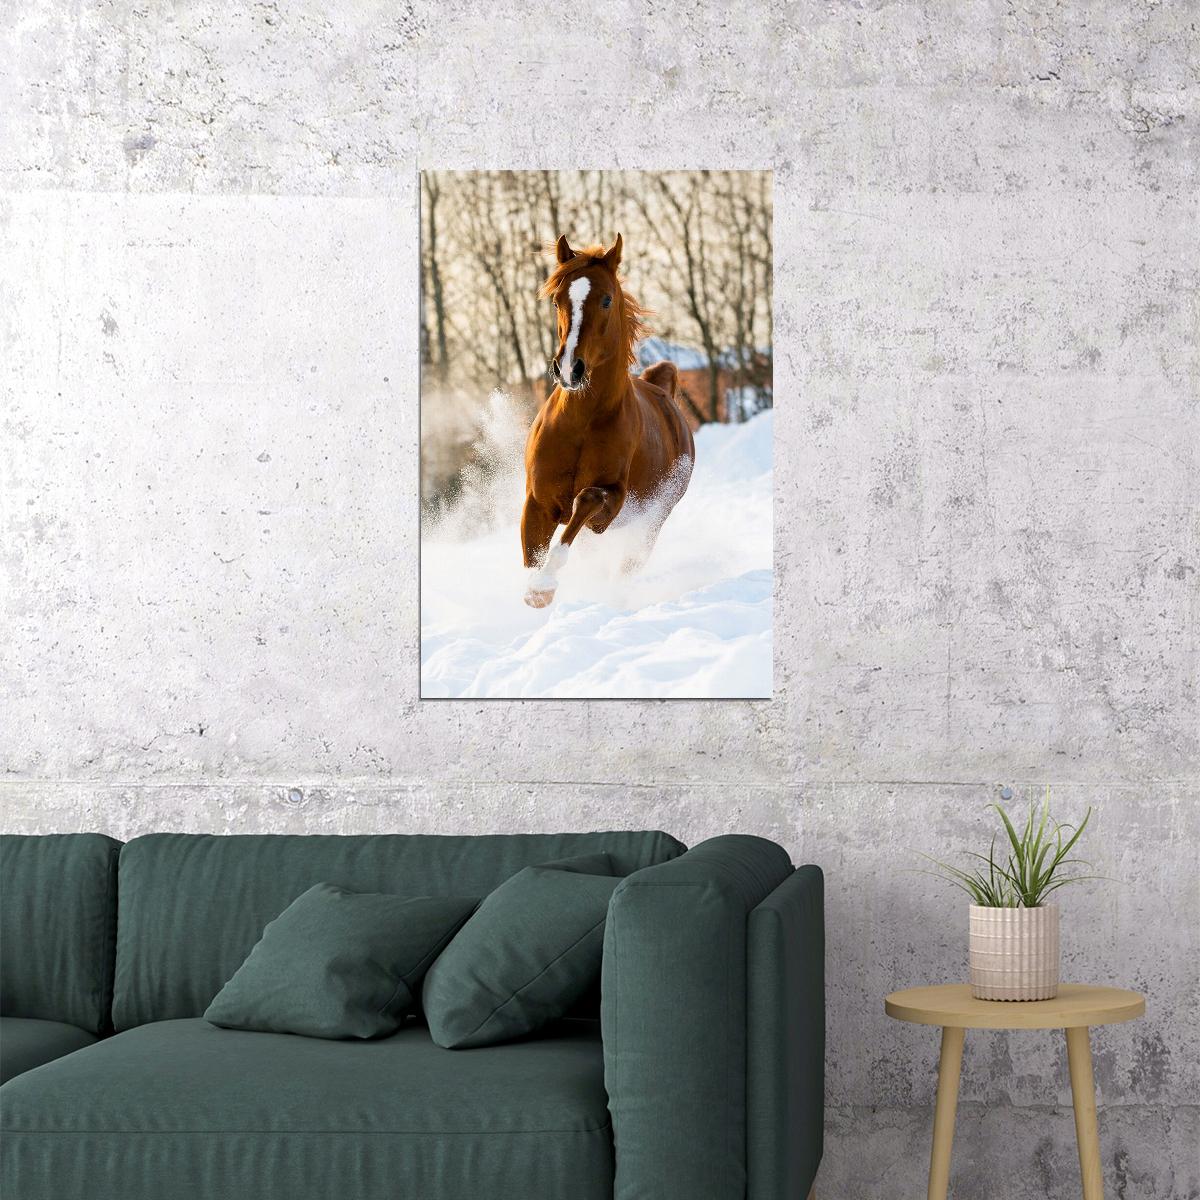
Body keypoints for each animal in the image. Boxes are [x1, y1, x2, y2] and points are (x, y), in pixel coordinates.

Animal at [521, 233, 695, 608]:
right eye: (557, 300)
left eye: (606, 299)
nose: (569, 369)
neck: (581, 423)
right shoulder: (537, 502)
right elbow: (532, 556)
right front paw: (535, 591)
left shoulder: (609, 504)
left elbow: (585, 503)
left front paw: (544, 587)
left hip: (651, 523)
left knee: (627, 567)